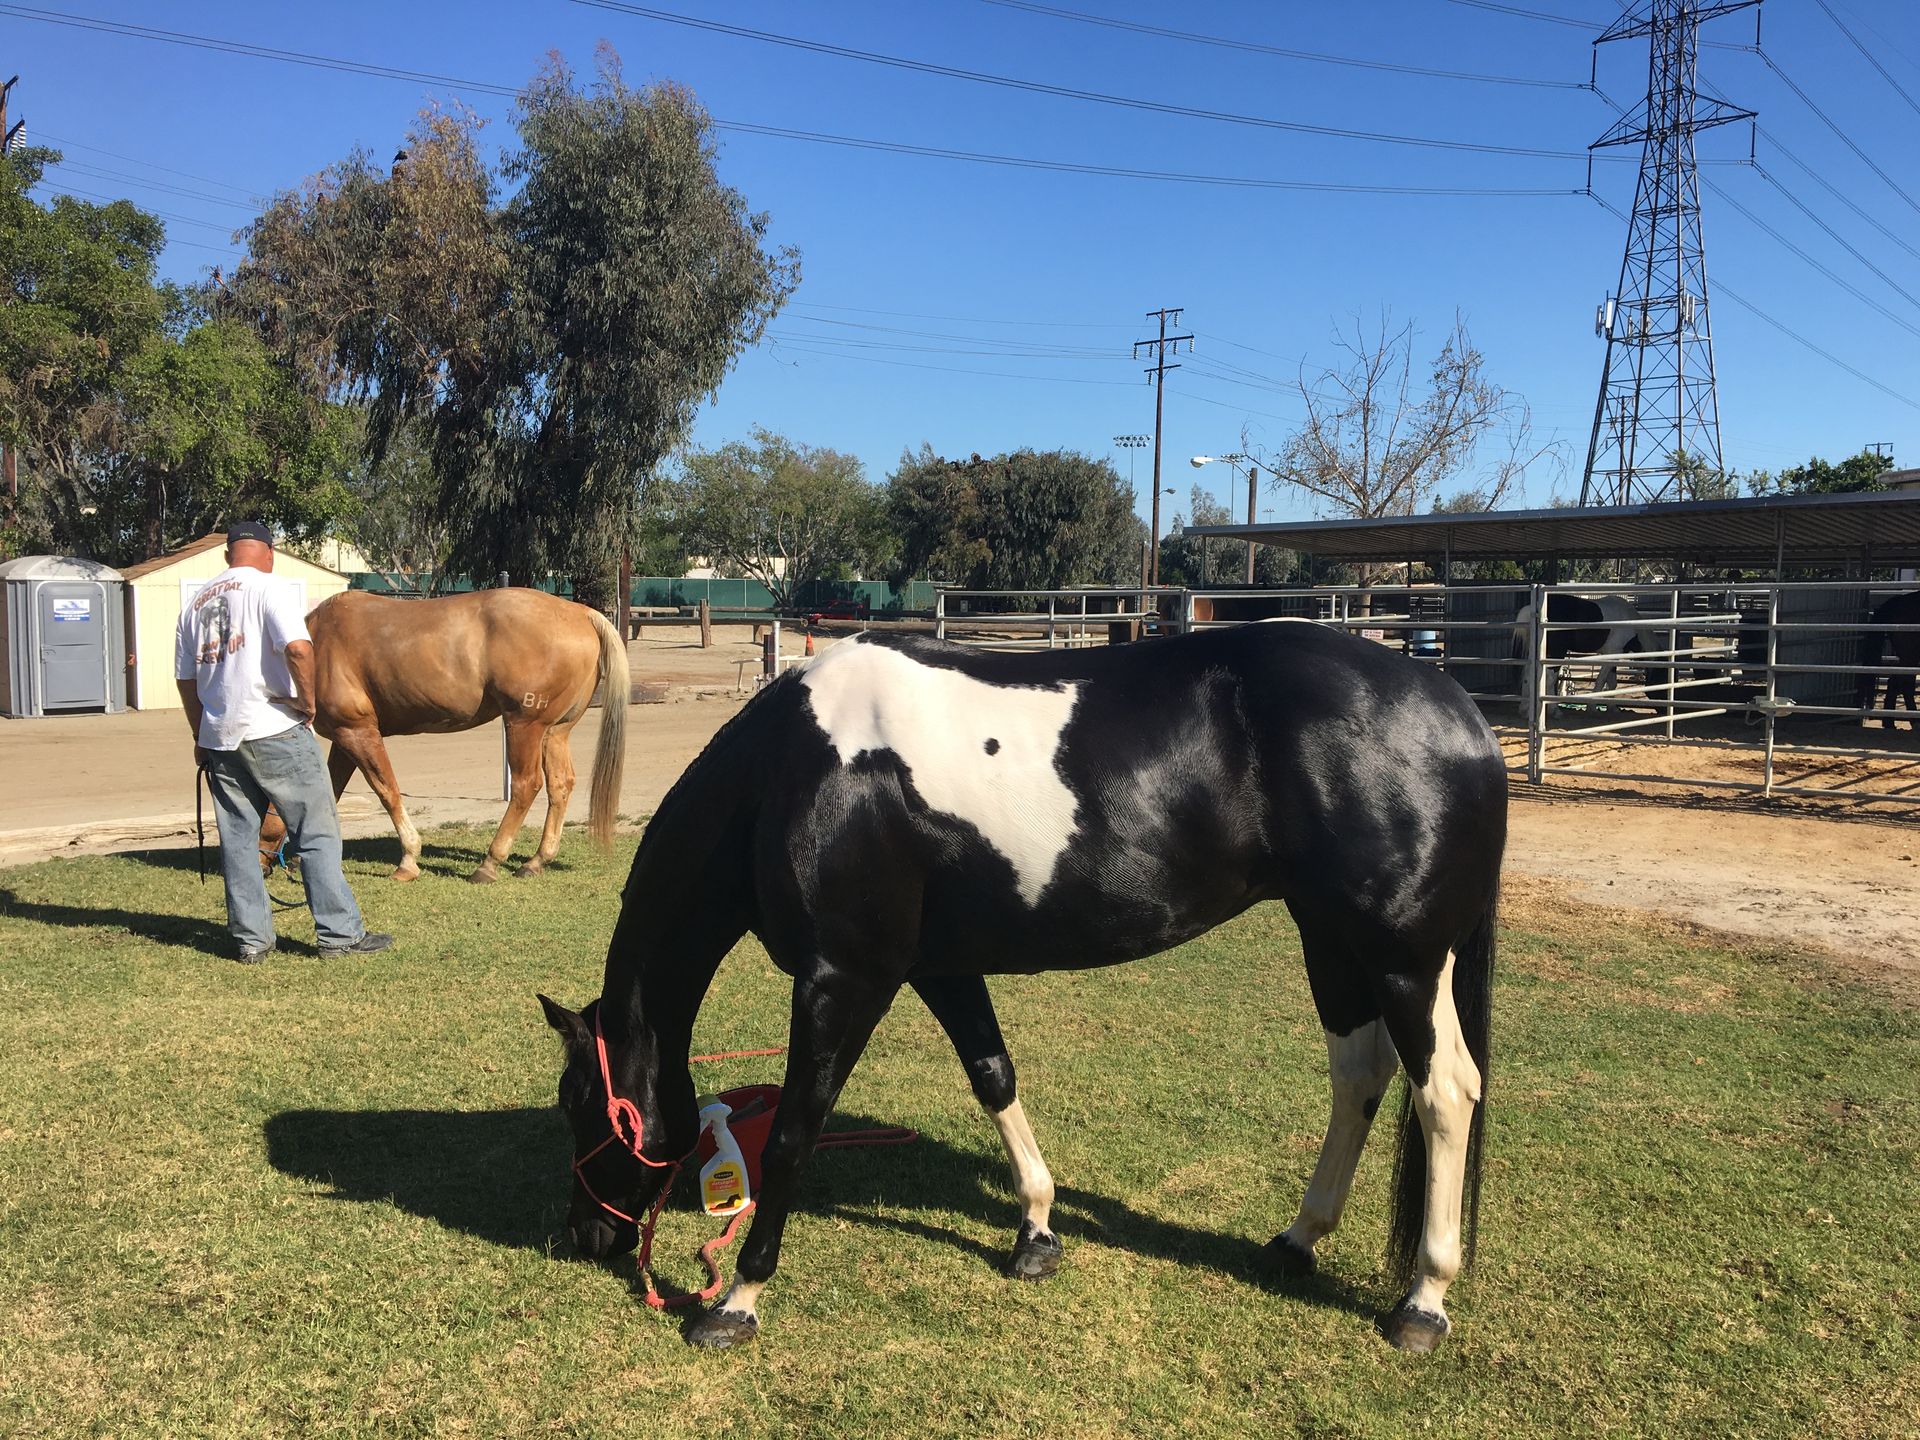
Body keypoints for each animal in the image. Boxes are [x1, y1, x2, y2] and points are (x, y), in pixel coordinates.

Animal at [276, 588, 628, 884]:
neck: (318, 642)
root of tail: (580, 613)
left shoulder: (357, 732)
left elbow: (387, 791)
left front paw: (408, 860)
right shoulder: (343, 739)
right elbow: (331, 793)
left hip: (524, 726)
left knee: (526, 786)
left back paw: (489, 863)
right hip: (554, 732)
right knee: (560, 784)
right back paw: (536, 860)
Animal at [538, 620, 1507, 1353]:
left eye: (581, 1106)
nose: (581, 1238)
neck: (796, 774)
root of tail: (1457, 708)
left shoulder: (841, 979)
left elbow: (792, 1136)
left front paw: (736, 1301)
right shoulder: (938, 968)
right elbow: (993, 1075)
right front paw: (1037, 1232)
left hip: (1403, 960)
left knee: (1445, 1092)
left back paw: (1423, 1302)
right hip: (1333, 942)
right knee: (1360, 1077)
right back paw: (1297, 1240)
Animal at [1512, 592, 1644, 715]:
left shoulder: (1613, 655)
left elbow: (1612, 683)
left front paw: (1612, 708)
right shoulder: (1613, 653)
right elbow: (1601, 680)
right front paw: (1592, 707)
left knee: (1528, 674)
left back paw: (1524, 709)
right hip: (1556, 652)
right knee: (1549, 678)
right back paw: (1554, 710)